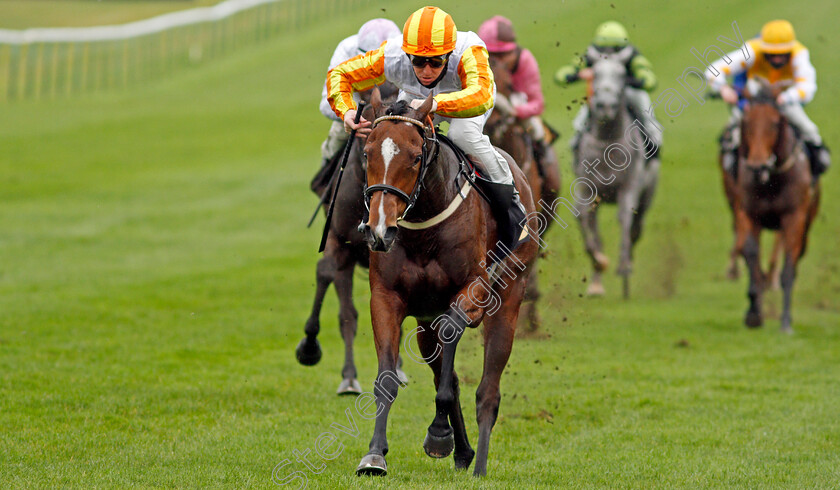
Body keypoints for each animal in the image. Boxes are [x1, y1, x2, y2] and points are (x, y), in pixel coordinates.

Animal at [354, 90, 540, 476]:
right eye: (367, 153)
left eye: (414, 157)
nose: (379, 230)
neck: (424, 230)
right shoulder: (386, 298)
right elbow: (389, 378)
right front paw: (375, 454)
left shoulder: (473, 290)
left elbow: (453, 338)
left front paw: (439, 433)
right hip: (425, 325)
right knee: (447, 372)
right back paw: (464, 451)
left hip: (510, 297)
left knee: (488, 391)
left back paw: (479, 464)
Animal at [572, 55, 664, 296]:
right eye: (594, 73)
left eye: (622, 75)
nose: (605, 105)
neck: (607, 144)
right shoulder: (587, 190)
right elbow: (585, 222)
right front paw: (598, 272)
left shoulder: (628, 188)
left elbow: (624, 219)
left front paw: (623, 267)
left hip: (647, 194)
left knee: (635, 229)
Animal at [732, 86, 816, 334]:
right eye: (747, 122)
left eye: (775, 123)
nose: (757, 165)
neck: (771, 180)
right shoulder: (748, 213)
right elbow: (751, 254)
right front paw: (753, 313)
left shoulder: (794, 218)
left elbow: (788, 267)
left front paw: (786, 321)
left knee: (795, 260)